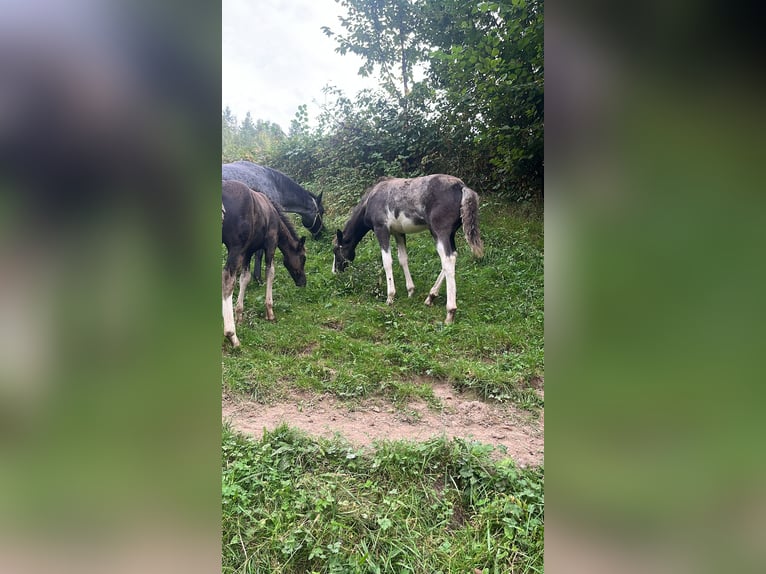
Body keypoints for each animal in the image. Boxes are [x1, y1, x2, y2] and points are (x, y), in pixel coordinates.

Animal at [222, 182, 306, 348]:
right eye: (303, 258)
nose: (303, 282)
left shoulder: (248, 251)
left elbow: (245, 278)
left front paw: (239, 314)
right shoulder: (270, 243)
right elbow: (270, 273)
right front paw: (270, 312)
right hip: (235, 247)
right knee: (228, 280)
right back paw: (231, 335)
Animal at [332, 173, 484, 326]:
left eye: (336, 250)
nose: (335, 271)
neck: (370, 199)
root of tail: (461, 187)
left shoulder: (381, 229)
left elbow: (387, 262)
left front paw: (390, 297)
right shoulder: (399, 233)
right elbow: (403, 259)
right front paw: (410, 291)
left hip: (439, 232)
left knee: (448, 260)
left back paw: (450, 312)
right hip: (450, 234)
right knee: (452, 256)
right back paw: (430, 297)